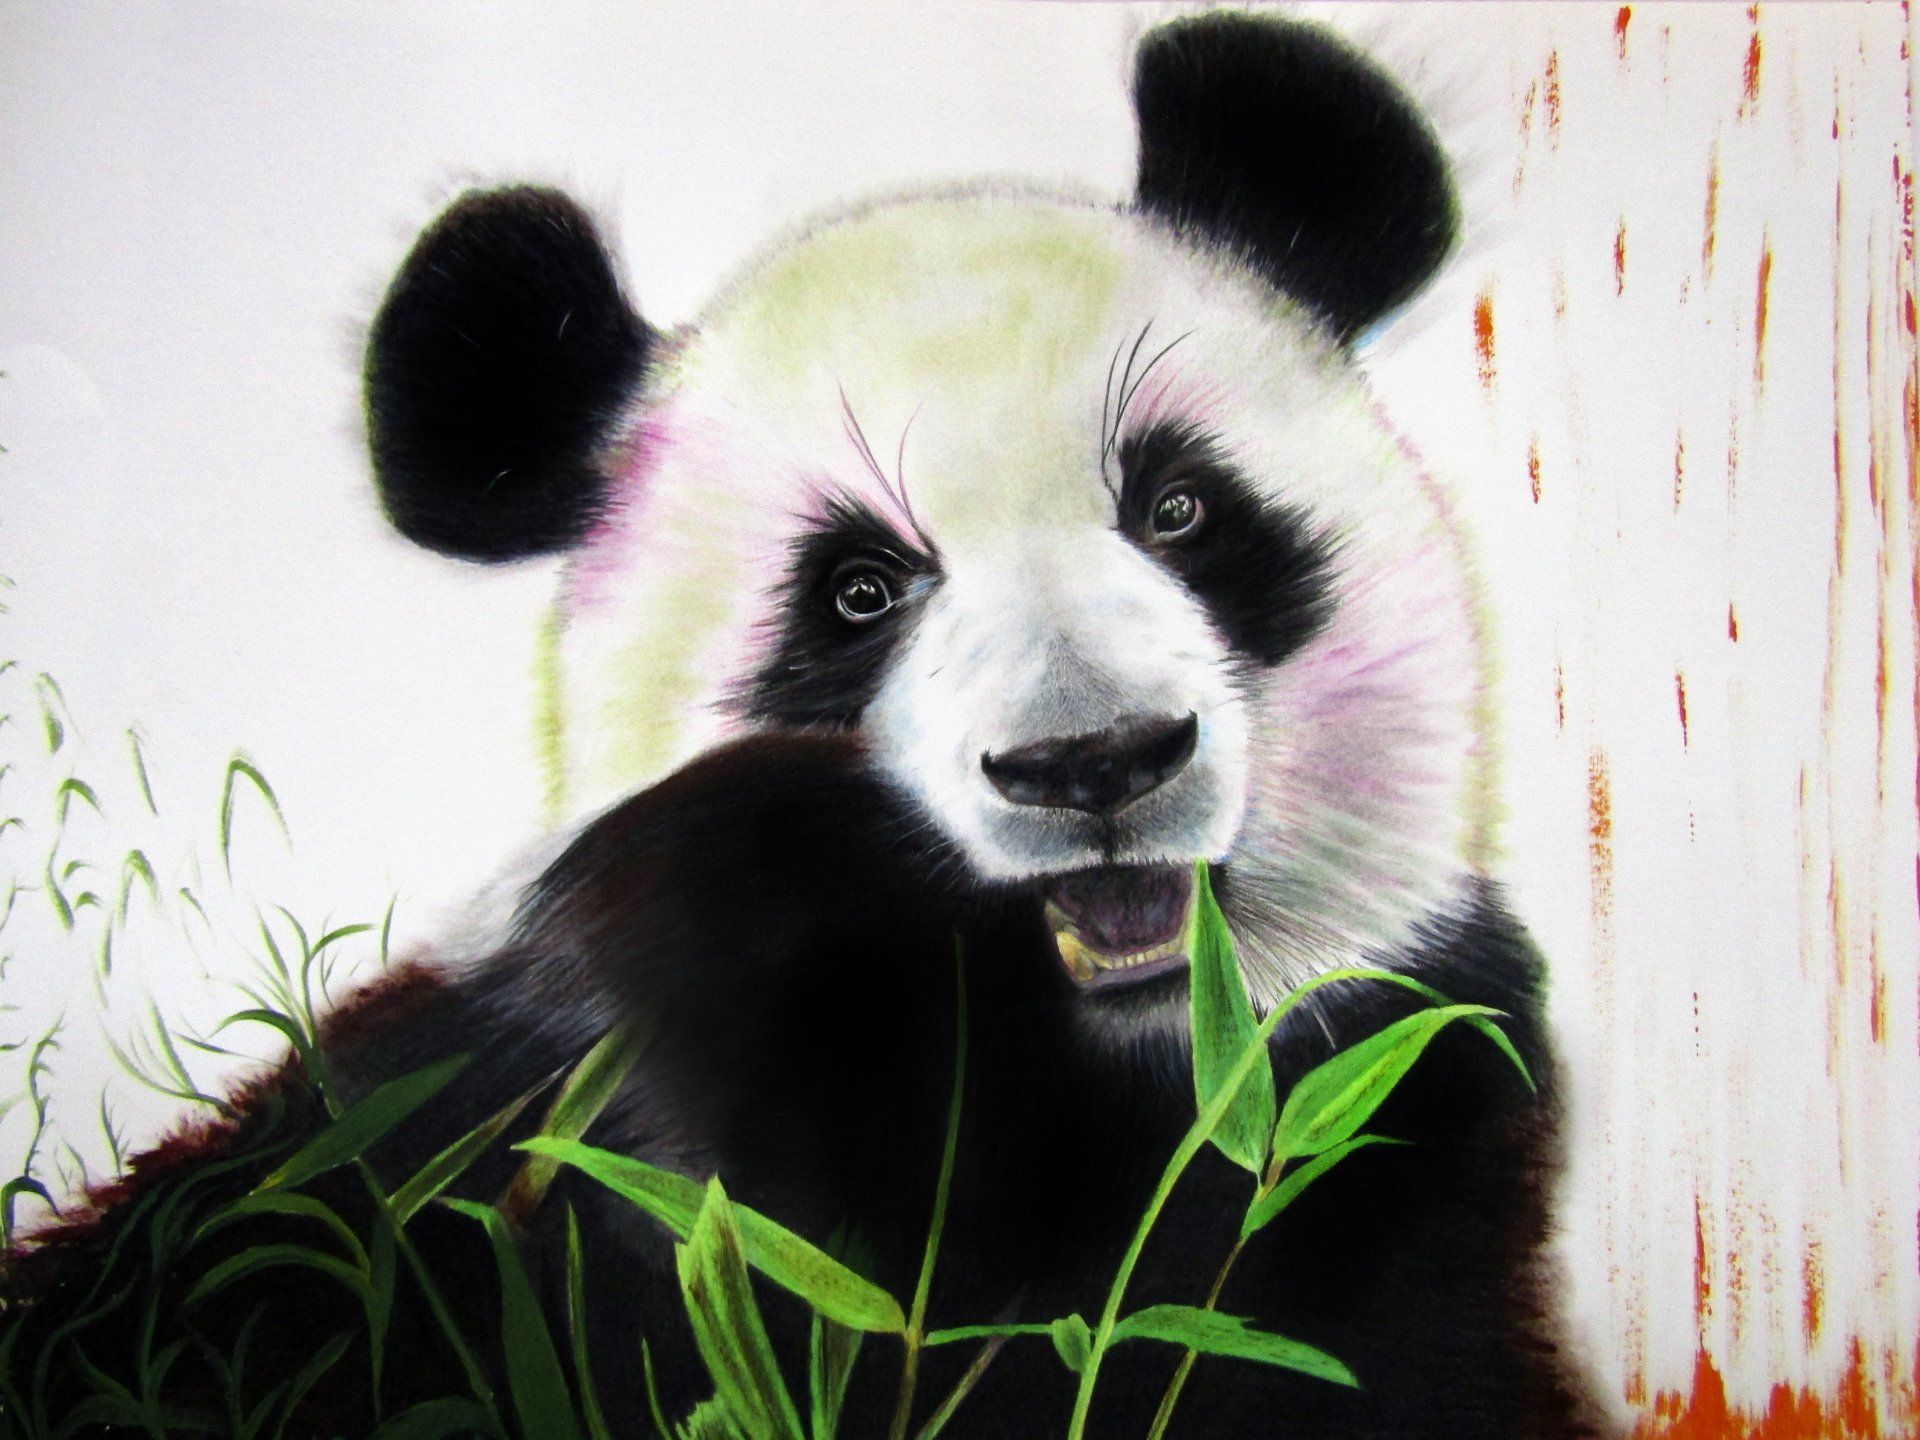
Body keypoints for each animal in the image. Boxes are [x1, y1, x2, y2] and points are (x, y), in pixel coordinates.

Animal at [3, 13, 1605, 1439]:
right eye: (858, 590)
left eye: (1180, 508)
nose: (1095, 763)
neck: (1124, 1062)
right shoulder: (555, 1141)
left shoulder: (1398, 1117)